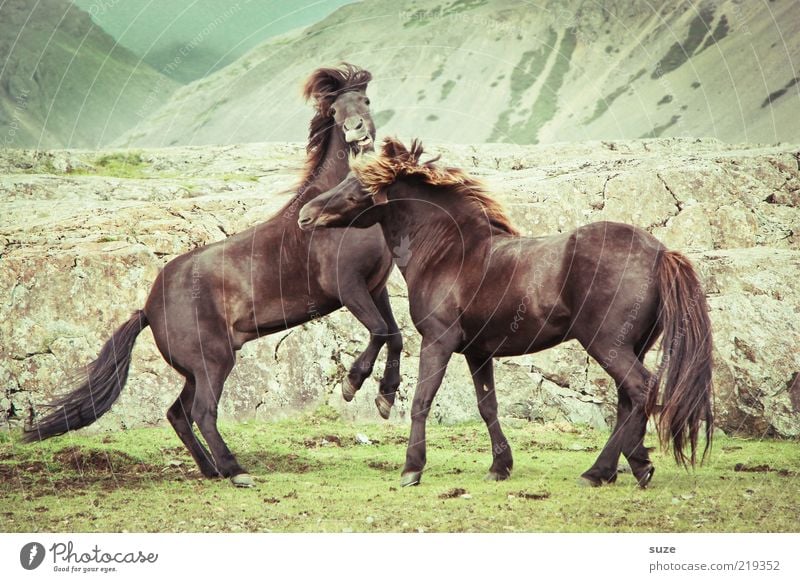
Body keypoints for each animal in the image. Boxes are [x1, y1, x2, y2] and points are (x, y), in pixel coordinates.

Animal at [23, 64, 406, 488]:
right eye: (335, 110)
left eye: (366, 100)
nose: (357, 131)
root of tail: (148, 308)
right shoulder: (348, 288)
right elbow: (380, 331)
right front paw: (352, 385)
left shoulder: (375, 287)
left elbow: (395, 336)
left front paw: (385, 398)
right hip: (214, 362)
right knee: (202, 412)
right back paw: (235, 470)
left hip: (197, 369)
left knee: (177, 413)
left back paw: (211, 469)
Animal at [298, 139, 712, 490]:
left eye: (359, 185)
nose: (305, 215)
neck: (449, 255)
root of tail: (661, 253)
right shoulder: (478, 353)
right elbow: (488, 407)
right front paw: (500, 466)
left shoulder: (438, 341)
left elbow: (421, 401)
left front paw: (411, 468)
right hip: (631, 345)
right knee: (628, 400)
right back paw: (607, 470)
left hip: (606, 343)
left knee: (641, 389)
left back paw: (621, 467)